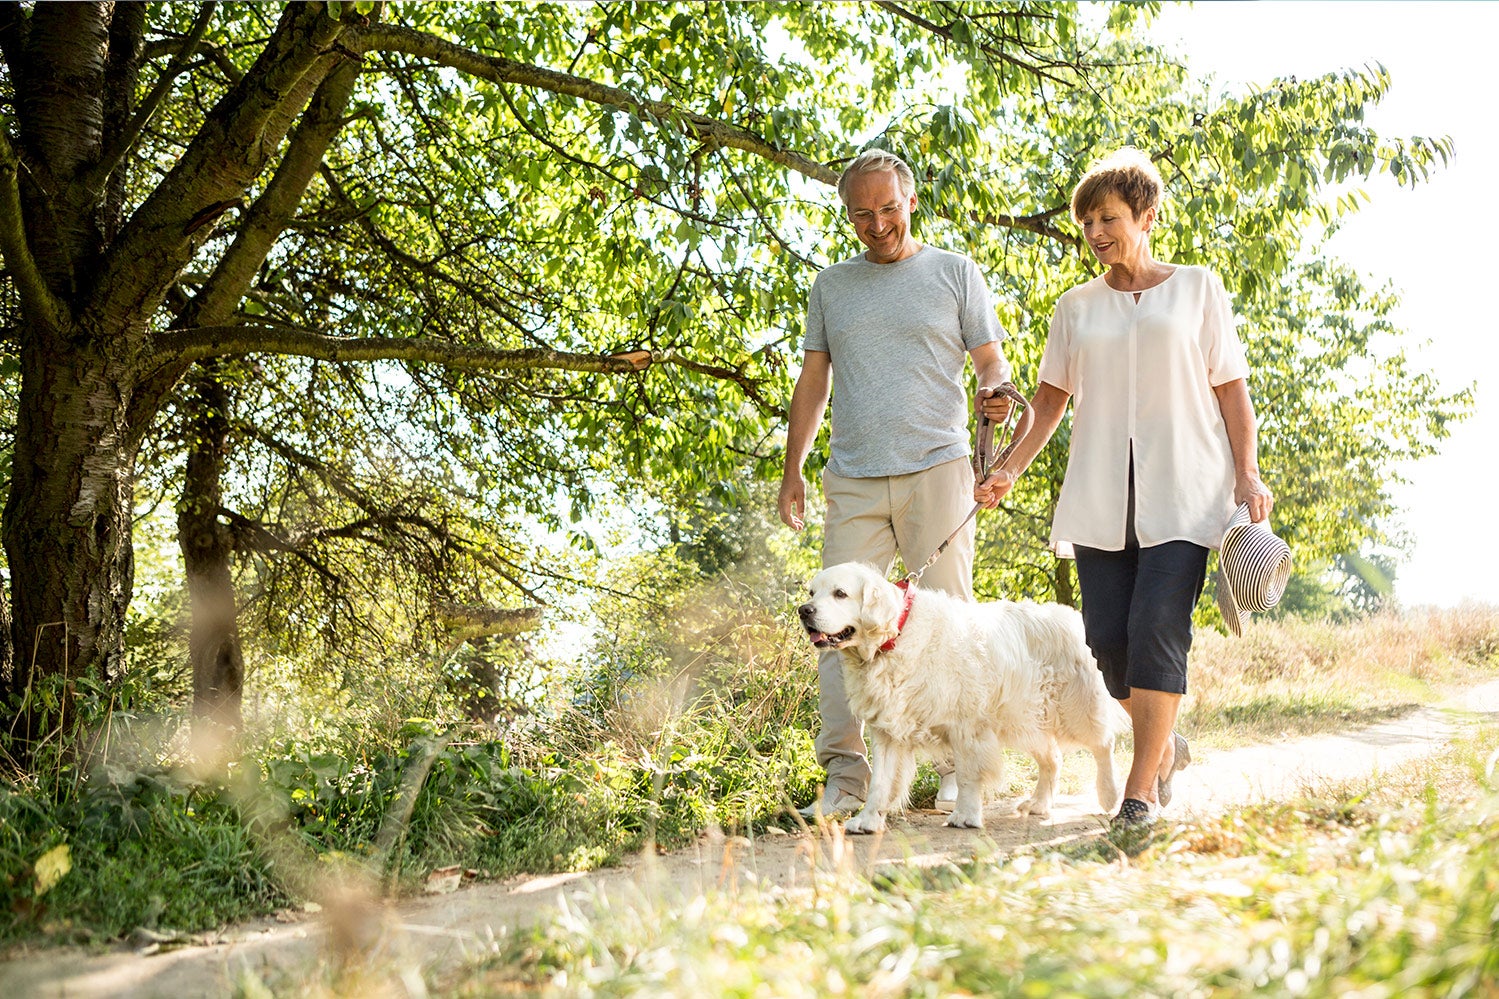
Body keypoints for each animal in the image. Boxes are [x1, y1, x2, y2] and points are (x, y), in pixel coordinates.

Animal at [797, 561, 1127, 834]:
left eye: (840, 593)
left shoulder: (967, 726)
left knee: (1103, 743)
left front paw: (965, 816)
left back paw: (1109, 795)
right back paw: (1038, 804)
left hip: (1075, 708)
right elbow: (879, 782)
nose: (804, 610)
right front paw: (867, 820)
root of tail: (1073, 617)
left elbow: (968, 775)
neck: (895, 638)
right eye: (812, 592)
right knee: (1053, 758)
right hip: (1024, 718)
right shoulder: (887, 732)